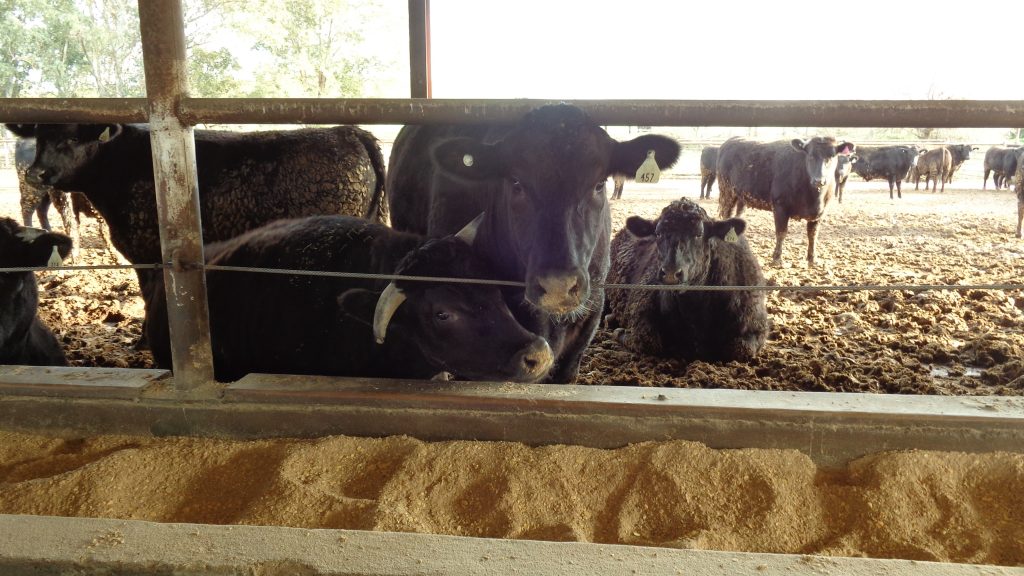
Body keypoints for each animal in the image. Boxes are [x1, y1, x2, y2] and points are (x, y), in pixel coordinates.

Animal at [605, 198, 768, 361]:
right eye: (658, 233)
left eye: (699, 234)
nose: (670, 273)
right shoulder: (639, 308)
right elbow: (648, 342)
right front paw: (619, 332)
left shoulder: (756, 326)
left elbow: (741, 349)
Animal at [716, 136, 855, 267]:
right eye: (810, 156)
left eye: (832, 156)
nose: (819, 180)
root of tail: (729, 142)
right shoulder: (780, 206)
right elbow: (781, 233)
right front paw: (777, 259)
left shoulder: (820, 213)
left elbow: (813, 235)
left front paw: (812, 259)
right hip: (727, 192)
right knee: (727, 215)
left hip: (742, 196)